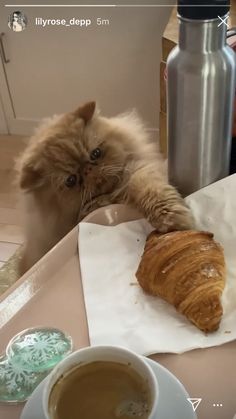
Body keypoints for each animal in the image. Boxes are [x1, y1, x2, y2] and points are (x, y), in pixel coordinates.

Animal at [16, 102, 194, 276]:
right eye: (71, 180)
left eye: (95, 153)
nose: (88, 170)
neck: (116, 195)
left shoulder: (138, 171)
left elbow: (149, 190)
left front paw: (173, 220)